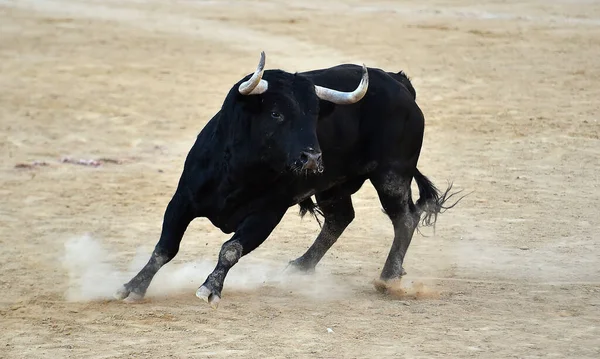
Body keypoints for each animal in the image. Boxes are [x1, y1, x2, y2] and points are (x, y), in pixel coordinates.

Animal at [113, 52, 460, 308]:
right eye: (276, 114)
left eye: (314, 115)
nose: (313, 158)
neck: (239, 173)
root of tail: (400, 84)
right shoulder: (183, 199)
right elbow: (165, 247)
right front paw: (132, 287)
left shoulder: (268, 213)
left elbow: (230, 249)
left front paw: (210, 288)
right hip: (335, 185)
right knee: (341, 218)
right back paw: (300, 268)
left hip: (392, 174)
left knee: (404, 218)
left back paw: (388, 279)